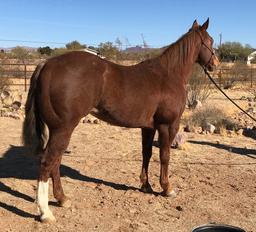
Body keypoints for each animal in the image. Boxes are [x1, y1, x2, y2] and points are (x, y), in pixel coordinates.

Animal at [22, 19, 219, 222]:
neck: (169, 74)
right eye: (210, 41)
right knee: (48, 162)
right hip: (63, 129)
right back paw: (45, 212)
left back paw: (62, 199)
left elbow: (146, 154)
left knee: (55, 162)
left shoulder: (148, 127)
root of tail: (47, 64)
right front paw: (167, 188)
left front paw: (146, 186)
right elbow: (165, 156)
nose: (215, 64)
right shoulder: (167, 126)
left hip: (57, 130)